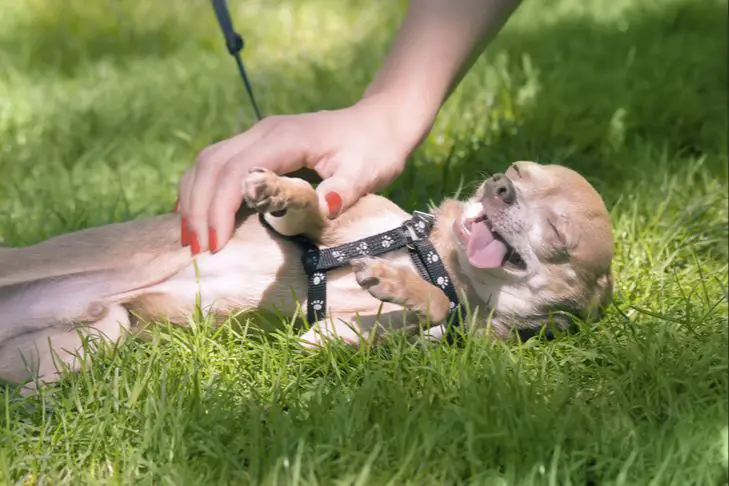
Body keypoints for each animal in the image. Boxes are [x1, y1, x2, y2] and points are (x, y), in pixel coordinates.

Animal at [0, 162, 616, 392]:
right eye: (515, 171)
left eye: (557, 234)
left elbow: (430, 311)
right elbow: (312, 206)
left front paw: (394, 288)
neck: (435, 258)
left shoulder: (394, 332)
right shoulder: (324, 227)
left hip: (98, 336)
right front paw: (278, 187)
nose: (498, 187)